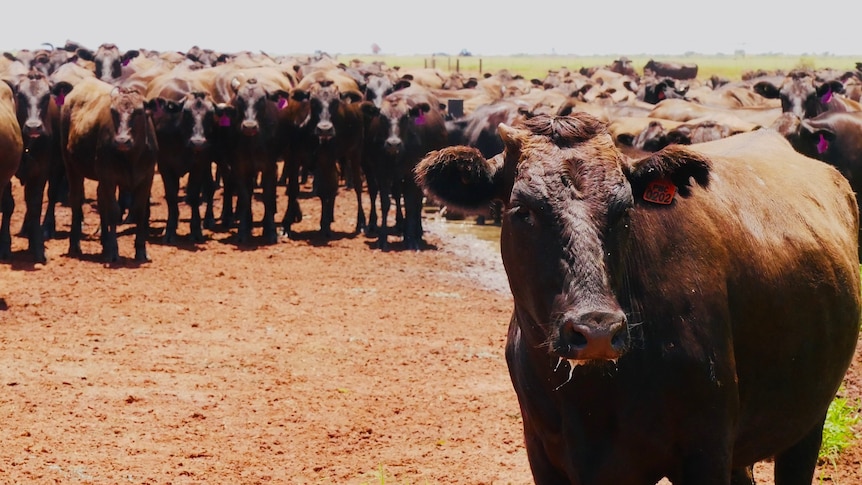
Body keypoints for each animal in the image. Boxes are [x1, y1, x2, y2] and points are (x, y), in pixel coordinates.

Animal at [60, 78, 159, 262]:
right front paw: (113, 250)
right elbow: (113, 211)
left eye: (139, 112)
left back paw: (104, 242)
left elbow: (140, 211)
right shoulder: (109, 177)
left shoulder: (147, 178)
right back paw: (75, 244)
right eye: (113, 112)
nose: (122, 140)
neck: (132, 157)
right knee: (76, 200)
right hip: (71, 167)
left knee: (100, 199)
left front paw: (141, 250)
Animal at [416, 112, 860, 484]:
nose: (596, 330)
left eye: (624, 210)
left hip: (806, 423)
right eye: (522, 211)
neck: (591, 402)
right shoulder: (543, 454)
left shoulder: (706, 451)